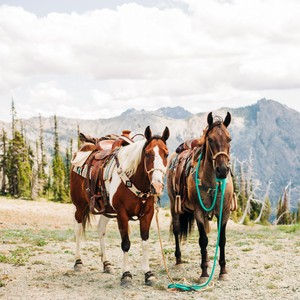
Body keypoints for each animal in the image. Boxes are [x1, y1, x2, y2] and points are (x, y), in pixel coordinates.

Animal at [69, 125, 170, 284]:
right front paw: (126, 275)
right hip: (79, 205)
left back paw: (106, 264)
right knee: (78, 230)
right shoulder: (122, 214)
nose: (157, 186)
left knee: (101, 230)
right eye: (147, 154)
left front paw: (148, 273)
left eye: (166, 154)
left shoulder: (147, 214)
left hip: (106, 209)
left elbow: (145, 243)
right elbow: (126, 244)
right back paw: (78, 262)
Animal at [166, 112, 234, 284]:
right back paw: (179, 261)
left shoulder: (224, 212)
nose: (222, 170)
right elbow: (203, 240)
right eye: (210, 139)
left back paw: (208, 259)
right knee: (177, 229)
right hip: (173, 204)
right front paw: (203, 273)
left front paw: (223, 271)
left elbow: (221, 239)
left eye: (229, 139)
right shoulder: (198, 210)